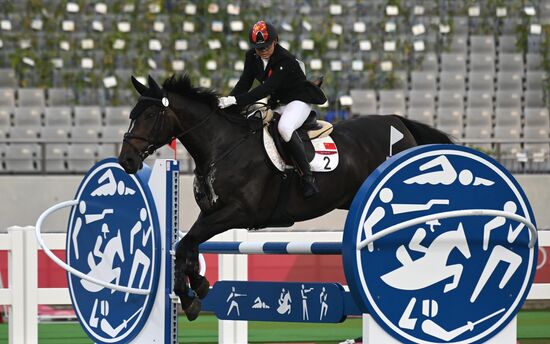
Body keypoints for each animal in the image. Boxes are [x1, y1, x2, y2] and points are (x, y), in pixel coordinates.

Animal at [117, 74, 452, 322]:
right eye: (131, 115)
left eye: (149, 115)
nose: (126, 161)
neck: (220, 146)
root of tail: (399, 121)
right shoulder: (210, 212)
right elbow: (186, 247)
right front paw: (196, 288)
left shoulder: (239, 212)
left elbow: (186, 243)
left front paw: (190, 297)